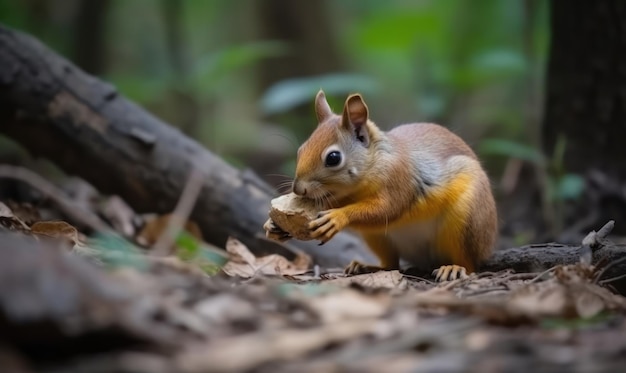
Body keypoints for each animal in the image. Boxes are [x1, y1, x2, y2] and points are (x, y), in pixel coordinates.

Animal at [288, 91, 498, 280]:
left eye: (333, 158)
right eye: (301, 149)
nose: (298, 189)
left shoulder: (399, 179)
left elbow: (387, 209)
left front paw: (337, 217)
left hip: (466, 221)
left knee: (470, 265)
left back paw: (453, 268)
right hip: (378, 237)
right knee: (390, 264)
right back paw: (365, 266)